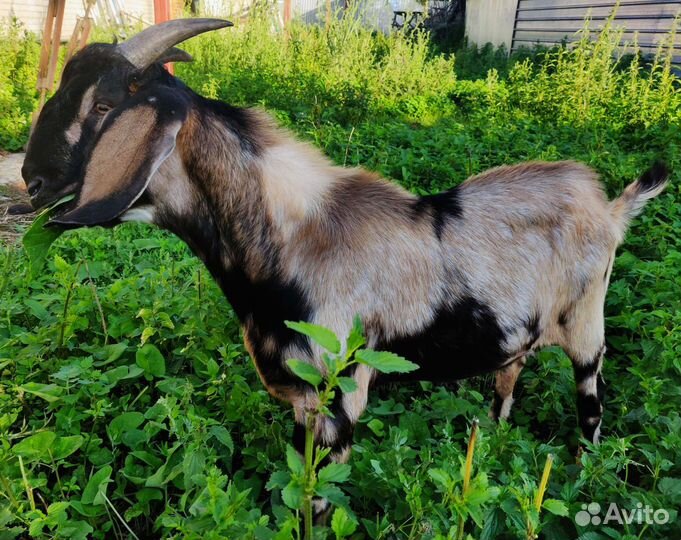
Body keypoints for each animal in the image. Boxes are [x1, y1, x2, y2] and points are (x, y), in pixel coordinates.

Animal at [22, 18, 668, 520]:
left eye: (104, 106)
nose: (32, 183)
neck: (291, 242)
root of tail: (610, 208)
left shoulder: (339, 395)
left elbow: (316, 498)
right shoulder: (299, 397)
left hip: (587, 328)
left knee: (591, 409)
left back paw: (583, 477)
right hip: (519, 338)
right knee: (508, 383)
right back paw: (488, 444)